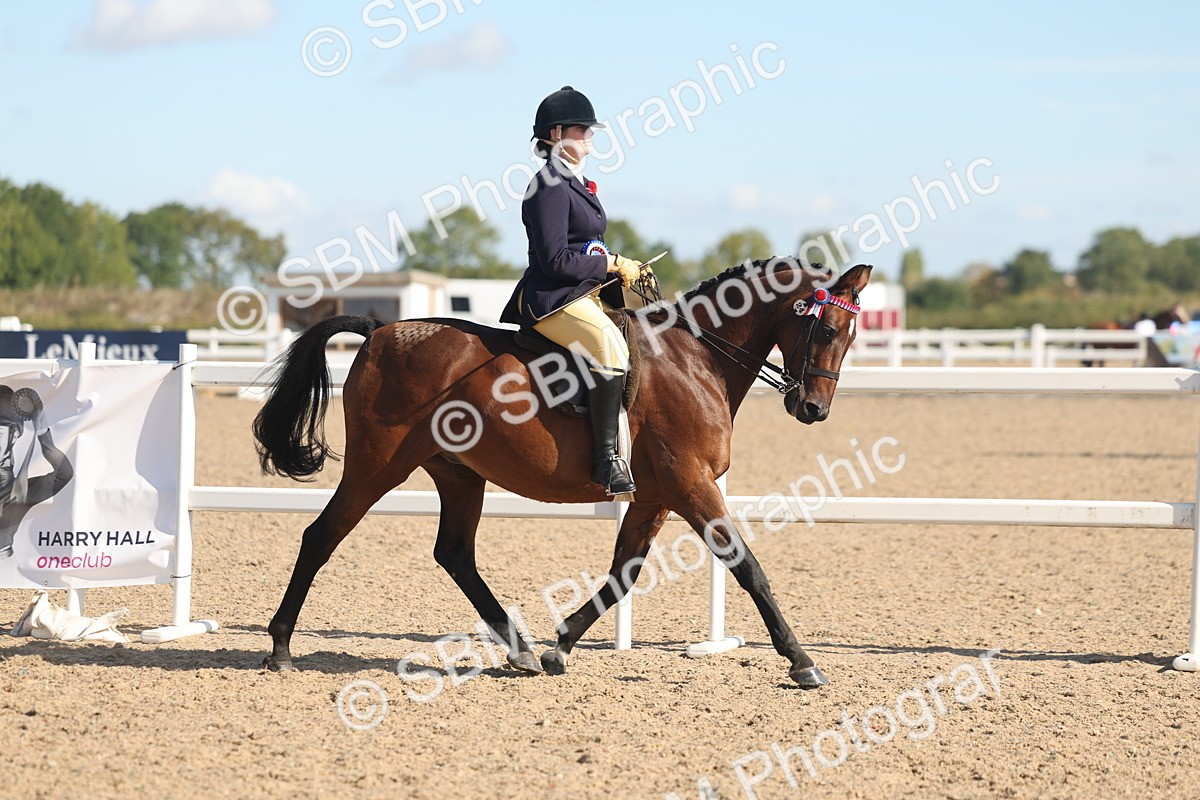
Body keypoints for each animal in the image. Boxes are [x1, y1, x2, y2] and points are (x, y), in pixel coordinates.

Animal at [252, 259, 872, 689]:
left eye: (851, 335)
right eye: (824, 330)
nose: (813, 409)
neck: (697, 359)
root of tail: (381, 330)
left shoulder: (654, 497)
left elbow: (623, 573)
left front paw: (560, 645)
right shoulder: (690, 484)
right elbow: (749, 568)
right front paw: (802, 662)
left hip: (458, 474)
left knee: (454, 553)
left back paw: (521, 650)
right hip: (377, 466)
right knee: (321, 536)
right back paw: (280, 648)